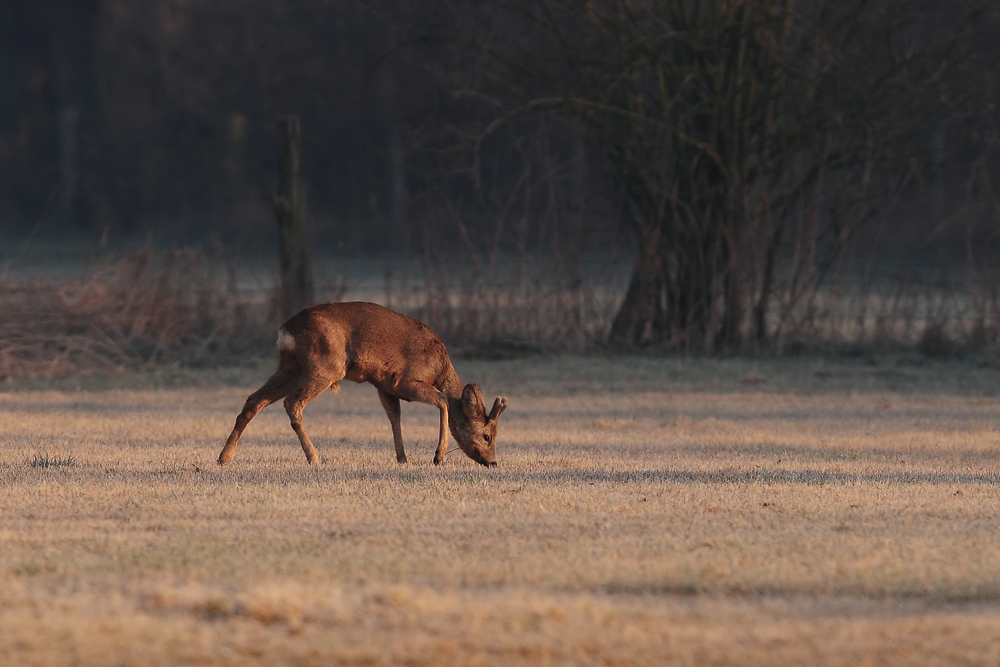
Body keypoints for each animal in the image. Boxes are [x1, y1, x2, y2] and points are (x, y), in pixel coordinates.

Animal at [218, 300, 508, 468]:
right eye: (487, 435)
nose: (492, 461)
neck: (440, 369)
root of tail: (286, 331)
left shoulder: (384, 386)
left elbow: (395, 417)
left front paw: (402, 458)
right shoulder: (405, 380)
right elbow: (443, 401)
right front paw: (437, 456)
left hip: (289, 366)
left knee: (254, 400)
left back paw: (224, 457)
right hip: (326, 364)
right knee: (292, 403)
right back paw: (314, 457)